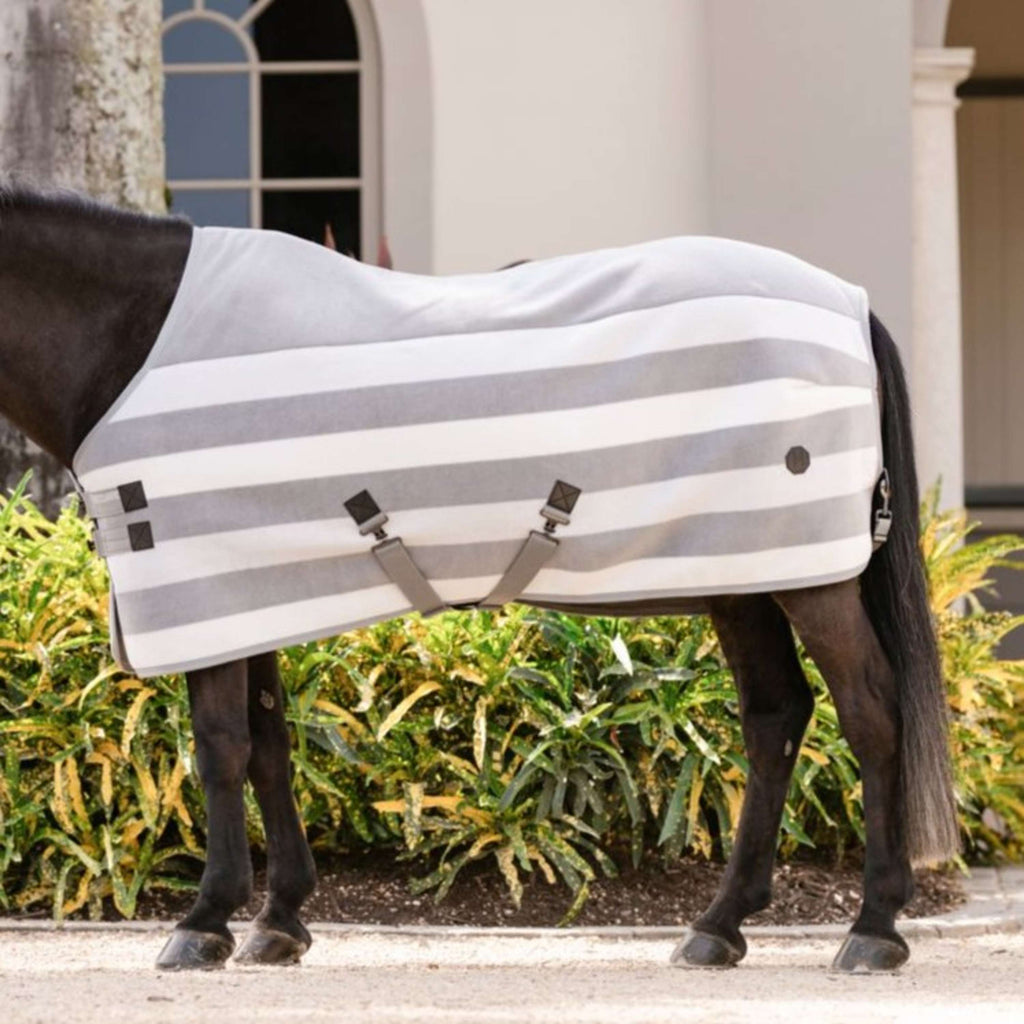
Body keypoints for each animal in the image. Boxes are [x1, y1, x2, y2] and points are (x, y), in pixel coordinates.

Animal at [0, 186, 957, 973]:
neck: (131, 344)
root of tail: (849, 302)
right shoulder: (253, 597)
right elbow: (268, 746)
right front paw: (279, 921)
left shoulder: (204, 592)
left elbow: (220, 749)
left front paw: (205, 923)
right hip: (745, 576)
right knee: (775, 719)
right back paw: (719, 928)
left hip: (810, 580)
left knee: (871, 711)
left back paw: (873, 929)